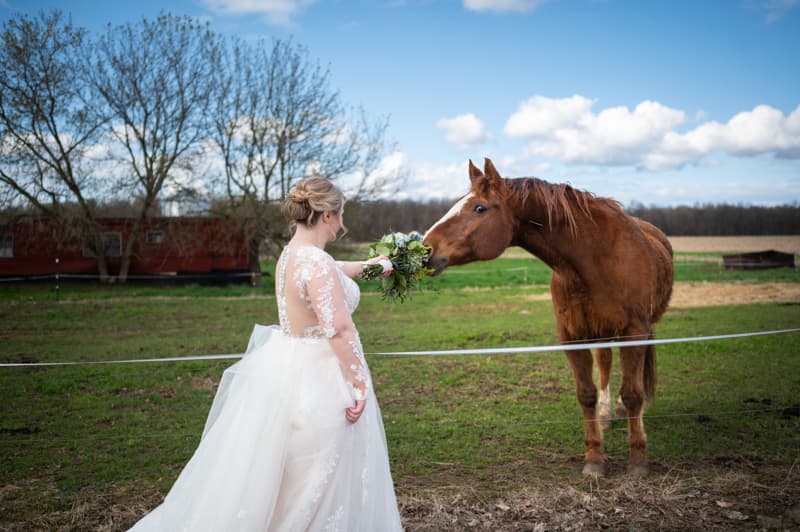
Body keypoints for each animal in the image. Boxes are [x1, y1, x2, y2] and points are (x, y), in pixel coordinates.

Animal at [422, 158, 672, 478]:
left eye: (479, 208)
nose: (425, 249)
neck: (595, 259)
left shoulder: (635, 331)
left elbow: (633, 394)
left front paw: (638, 460)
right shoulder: (572, 336)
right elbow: (586, 394)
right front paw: (594, 459)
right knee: (604, 362)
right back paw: (606, 414)